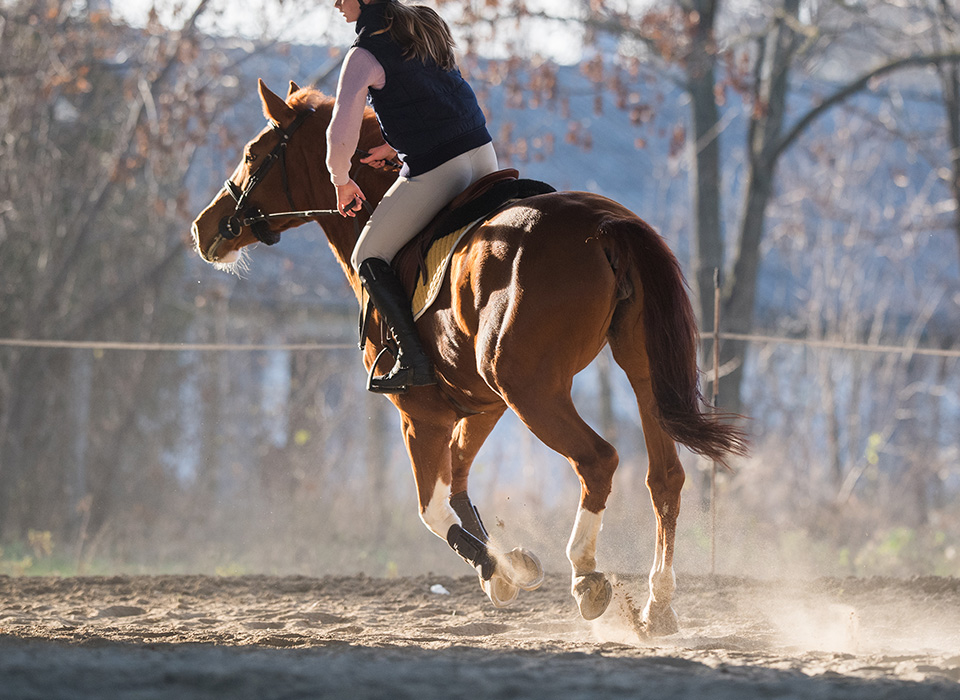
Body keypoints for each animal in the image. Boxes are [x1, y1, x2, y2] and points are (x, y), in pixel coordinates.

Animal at [191, 80, 747, 633]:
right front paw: (507, 566)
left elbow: (432, 508)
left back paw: (586, 576)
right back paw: (658, 606)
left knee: (597, 460)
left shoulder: (420, 415)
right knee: (664, 477)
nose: (204, 228)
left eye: (252, 154)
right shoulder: (480, 406)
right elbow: (458, 486)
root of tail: (605, 222)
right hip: (637, 370)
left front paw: (500, 572)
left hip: (530, 390)